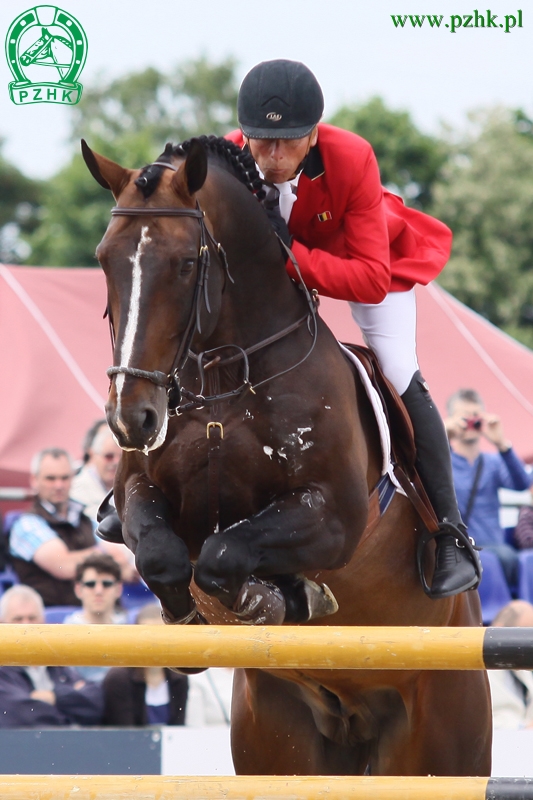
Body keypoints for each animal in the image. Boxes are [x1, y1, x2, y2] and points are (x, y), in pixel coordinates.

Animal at [82, 136, 490, 776]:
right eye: (105, 259)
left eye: (186, 263)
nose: (132, 417)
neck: (227, 376)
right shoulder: (140, 494)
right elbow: (164, 556)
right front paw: (188, 621)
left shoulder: (334, 519)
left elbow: (224, 554)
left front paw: (272, 598)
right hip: (278, 736)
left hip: (440, 740)